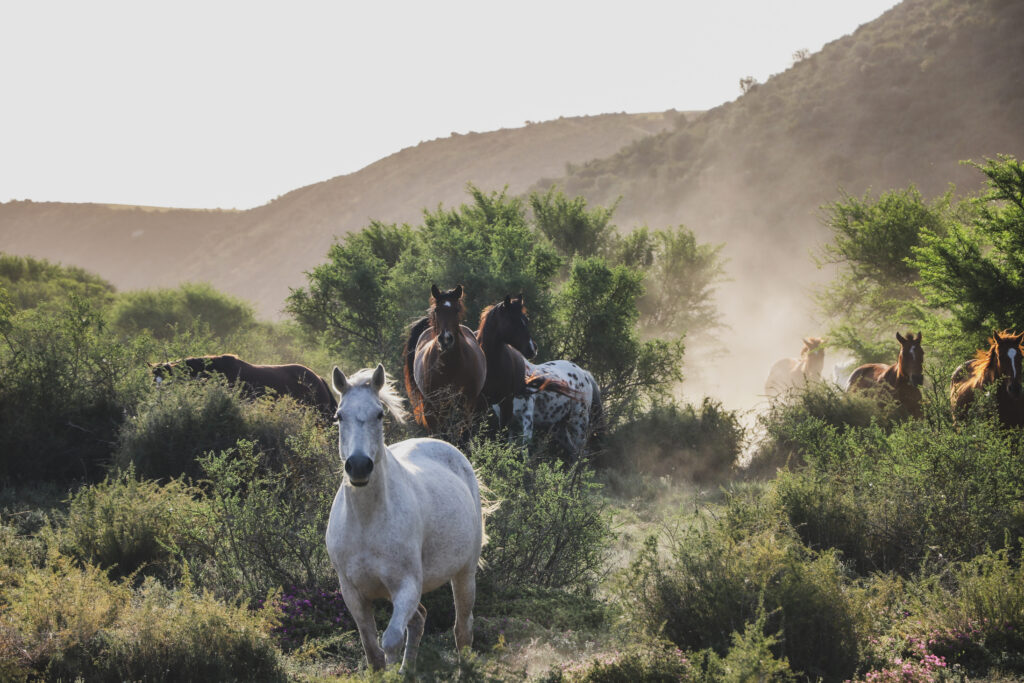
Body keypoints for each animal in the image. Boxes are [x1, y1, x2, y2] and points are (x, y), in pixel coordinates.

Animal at [326, 364, 484, 673]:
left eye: (379, 414)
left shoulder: (406, 587)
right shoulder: (352, 592)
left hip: (464, 574)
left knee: (462, 629)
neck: (366, 522)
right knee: (420, 619)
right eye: (339, 415)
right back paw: (408, 671)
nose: (359, 466)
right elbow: (372, 651)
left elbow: (390, 642)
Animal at [402, 284, 488, 436]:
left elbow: (465, 432)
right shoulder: (436, 406)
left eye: (456, 310)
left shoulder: (467, 404)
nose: (445, 339)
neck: (451, 366)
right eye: (437, 310)